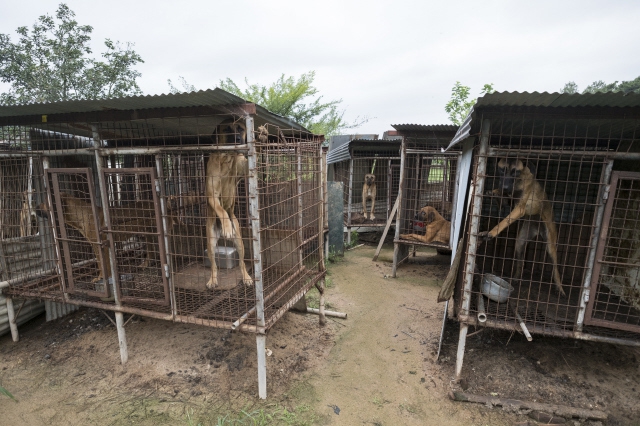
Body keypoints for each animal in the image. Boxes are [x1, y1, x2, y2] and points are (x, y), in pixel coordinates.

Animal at [206, 121, 254, 292]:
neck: (227, 158)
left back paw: (247, 278)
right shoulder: (212, 195)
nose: (238, 139)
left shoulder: (243, 167)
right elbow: (221, 210)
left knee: (242, 263)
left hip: (240, 241)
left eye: (241, 128)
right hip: (211, 242)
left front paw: (262, 136)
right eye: (227, 129)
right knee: (214, 266)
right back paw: (212, 280)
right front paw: (227, 226)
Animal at [478, 159, 564, 296]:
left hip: (550, 245)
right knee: (520, 262)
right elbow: (502, 199)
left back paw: (560, 288)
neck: (518, 182)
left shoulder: (519, 209)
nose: (504, 187)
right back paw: (516, 278)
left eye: (515, 172)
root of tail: (537, 227)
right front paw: (494, 192)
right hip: (520, 242)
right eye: (502, 170)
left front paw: (490, 233)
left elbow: (503, 222)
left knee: (555, 268)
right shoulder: (507, 201)